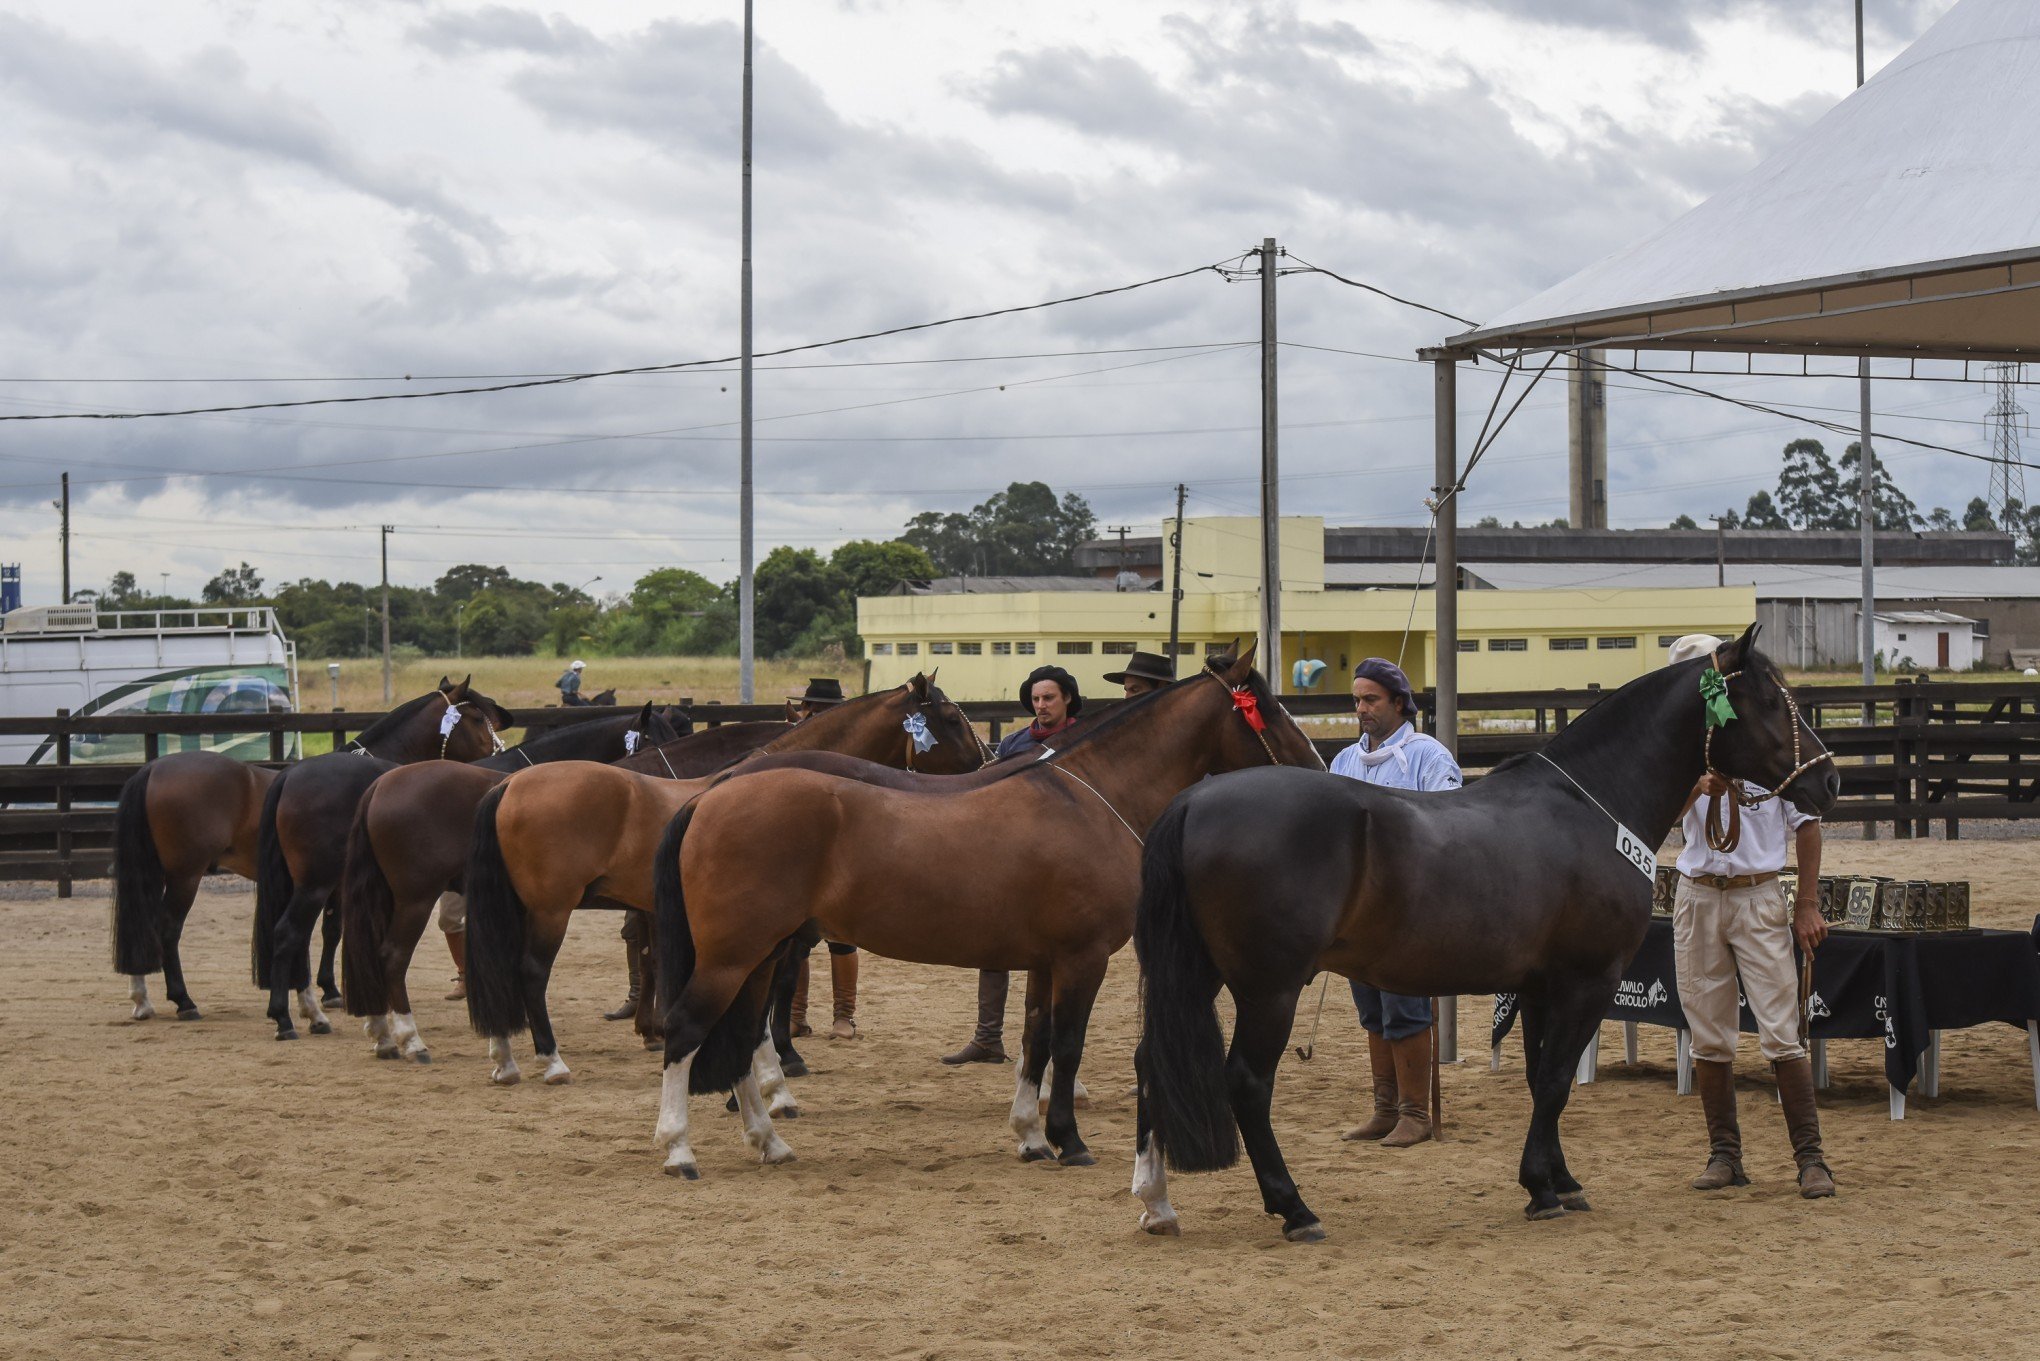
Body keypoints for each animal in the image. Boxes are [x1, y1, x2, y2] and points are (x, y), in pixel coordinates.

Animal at [251, 677, 518, 1044]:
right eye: (478, 719)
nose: (497, 755)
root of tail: (289, 776)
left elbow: (333, 929)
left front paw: (332, 990)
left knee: (299, 938)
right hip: (313, 884)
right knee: (288, 933)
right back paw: (284, 1017)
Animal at [336, 701, 685, 1061]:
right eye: (649, 740)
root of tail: (381, 784)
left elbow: (646, 957)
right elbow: (657, 960)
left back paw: (383, 1032)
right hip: (415, 900)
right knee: (392, 957)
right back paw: (411, 1039)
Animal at [459, 677, 983, 1085]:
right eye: (952, 718)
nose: (983, 764)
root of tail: (509, 784)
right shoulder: (785, 931)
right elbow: (781, 983)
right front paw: (785, 1054)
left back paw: (506, 1061)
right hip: (552, 908)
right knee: (530, 971)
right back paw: (551, 1060)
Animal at [644, 648, 1330, 1183]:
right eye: (1268, 709)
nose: (1321, 769)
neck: (1091, 798)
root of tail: (712, 796)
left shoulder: (1046, 962)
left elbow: (1035, 1040)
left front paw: (1030, 1135)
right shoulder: (1081, 959)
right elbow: (1068, 1044)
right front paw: (1069, 1140)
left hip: (759, 954)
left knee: (737, 1037)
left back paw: (769, 1142)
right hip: (733, 956)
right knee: (685, 1030)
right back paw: (679, 1150)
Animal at [1126, 624, 1844, 1240]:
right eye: (1770, 703)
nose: (1830, 780)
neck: (1593, 807)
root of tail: (1193, 802)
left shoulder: (1539, 986)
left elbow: (1540, 1076)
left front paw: (1559, 1180)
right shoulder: (1588, 981)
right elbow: (1555, 1080)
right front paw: (1542, 1189)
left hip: (1197, 975)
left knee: (1150, 1059)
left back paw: (1157, 1203)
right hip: (1269, 989)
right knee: (1247, 1081)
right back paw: (1294, 1208)